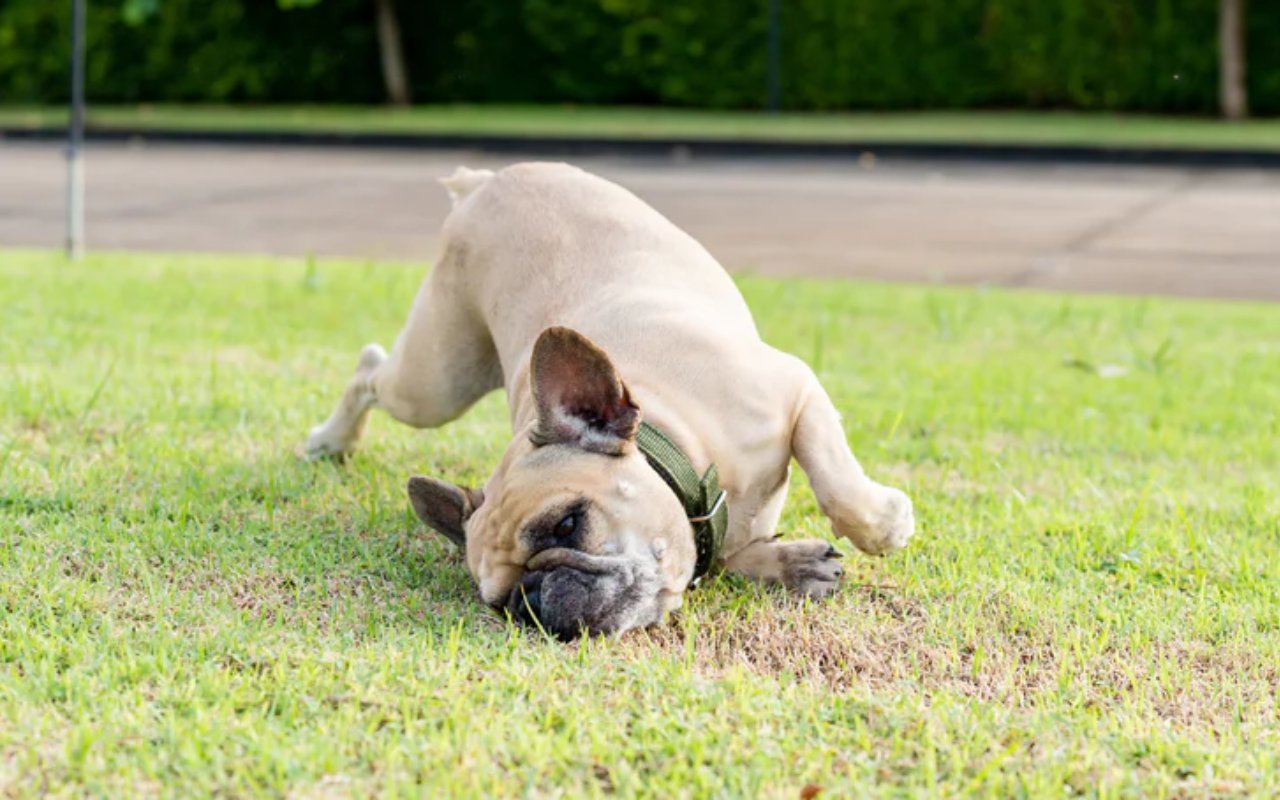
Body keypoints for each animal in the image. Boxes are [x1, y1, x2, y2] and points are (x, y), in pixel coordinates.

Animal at [305, 162, 916, 637]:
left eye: (567, 524)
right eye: (499, 604)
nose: (533, 597)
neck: (685, 439)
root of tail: (483, 182)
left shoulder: (798, 390)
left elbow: (837, 484)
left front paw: (882, 525)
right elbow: (736, 555)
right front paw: (794, 563)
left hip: (436, 385)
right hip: (435, 385)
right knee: (371, 373)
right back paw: (332, 440)